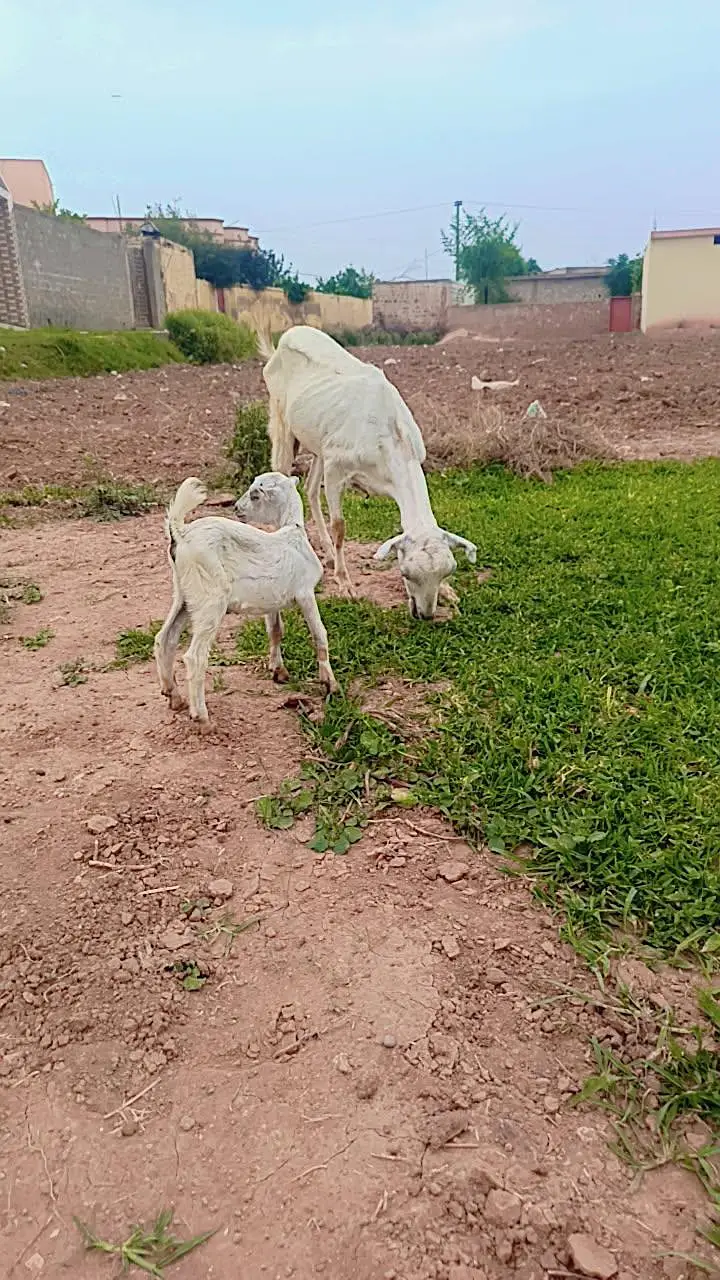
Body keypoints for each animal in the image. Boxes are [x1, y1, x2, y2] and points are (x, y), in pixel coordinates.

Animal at [154, 473, 338, 728]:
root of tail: (180, 533)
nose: (236, 508)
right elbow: (320, 633)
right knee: (194, 656)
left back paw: (173, 695)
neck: (292, 533)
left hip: (184, 596)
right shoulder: (305, 593)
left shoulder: (273, 601)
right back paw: (201, 716)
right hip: (210, 598)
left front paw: (278, 671)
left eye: (255, 495)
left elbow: (275, 631)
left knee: (165, 638)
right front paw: (330, 684)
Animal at [258, 325, 477, 620]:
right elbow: (339, 527)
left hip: (319, 445)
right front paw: (345, 584)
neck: (388, 437)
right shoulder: (336, 469)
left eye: (447, 571)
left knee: (310, 489)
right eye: (407, 573)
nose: (425, 614)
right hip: (282, 423)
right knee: (282, 477)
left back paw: (327, 553)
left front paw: (448, 593)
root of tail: (285, 338)